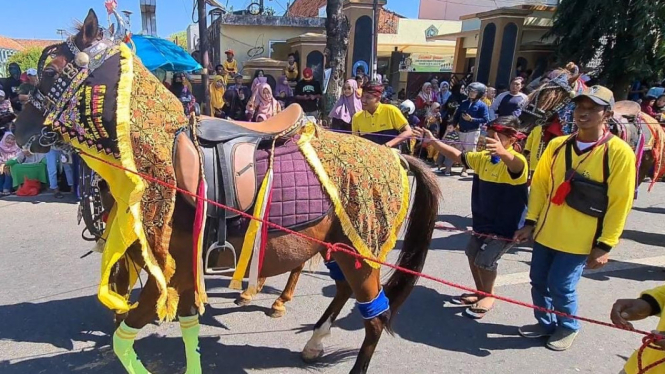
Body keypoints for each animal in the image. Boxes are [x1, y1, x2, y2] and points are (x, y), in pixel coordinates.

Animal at [11, 8, 440, 374]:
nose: (17, 129)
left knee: (375, 319)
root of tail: (395, 155)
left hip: (359, 251)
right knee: (342, 290)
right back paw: (313, 340)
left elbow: (123, 338)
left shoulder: (168, 272)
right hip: (341, 244)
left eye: (50, 69)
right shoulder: (184, 271)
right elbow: (185, 325)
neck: (161, 158)